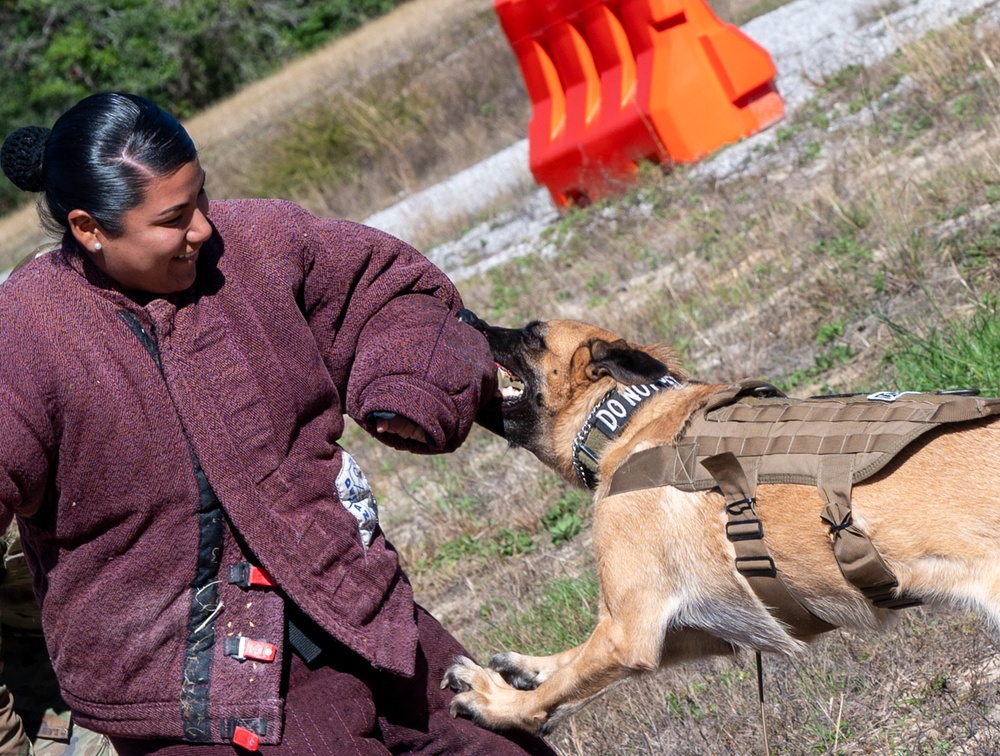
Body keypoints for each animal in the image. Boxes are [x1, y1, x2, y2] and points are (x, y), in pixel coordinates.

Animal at [442, 310, 1000, 736]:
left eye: (532, 335)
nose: (464, 316)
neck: (622, 419)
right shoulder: (700, 628)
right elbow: (572, 666)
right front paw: (526, 669)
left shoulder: (630, 634)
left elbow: (562, 686)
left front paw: (497, 703)